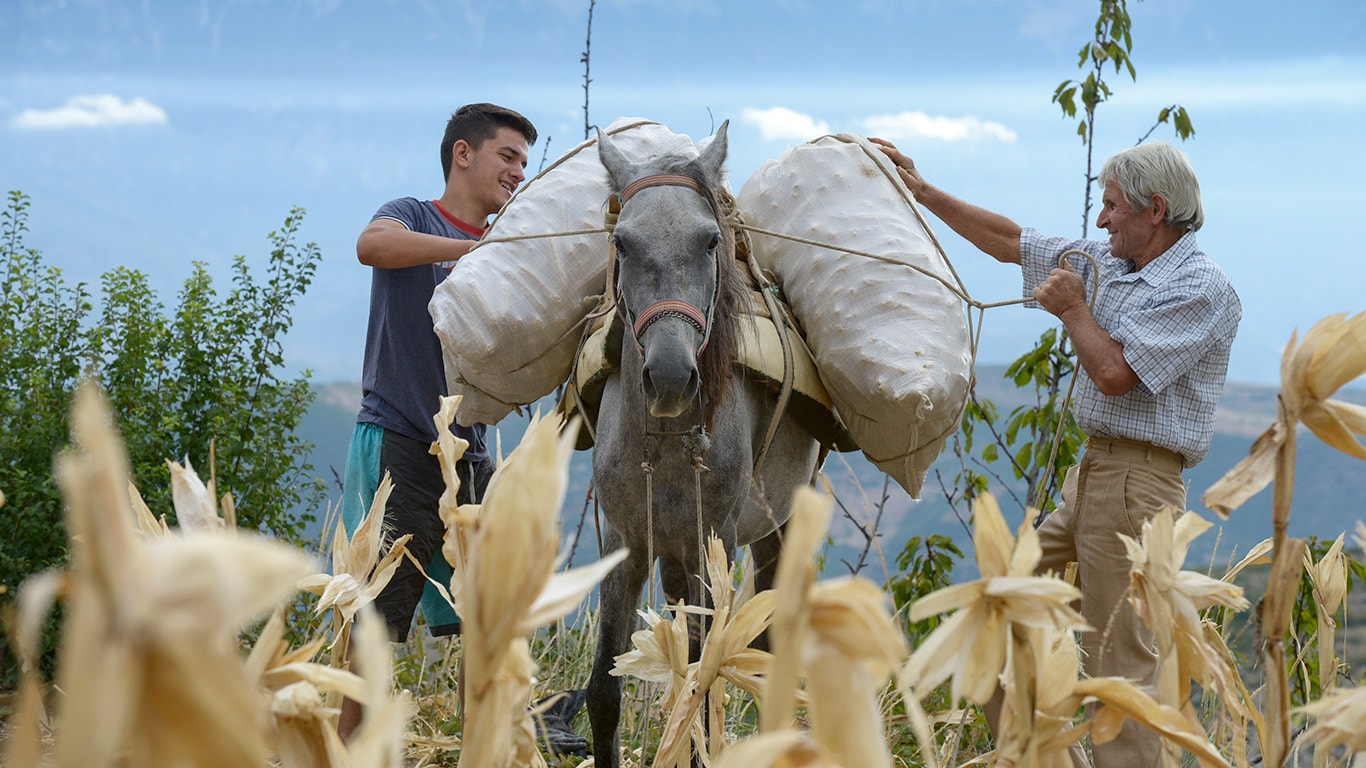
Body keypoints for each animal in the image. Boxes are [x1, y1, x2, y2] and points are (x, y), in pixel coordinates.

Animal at [587, 120, 819, 765]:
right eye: (622, 244)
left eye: (711, 241)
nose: (670, 377)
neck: (667, 440)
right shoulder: (626, 545)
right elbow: (604, 692)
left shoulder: (714, 544)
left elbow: (704, 687)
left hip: (774, 531)